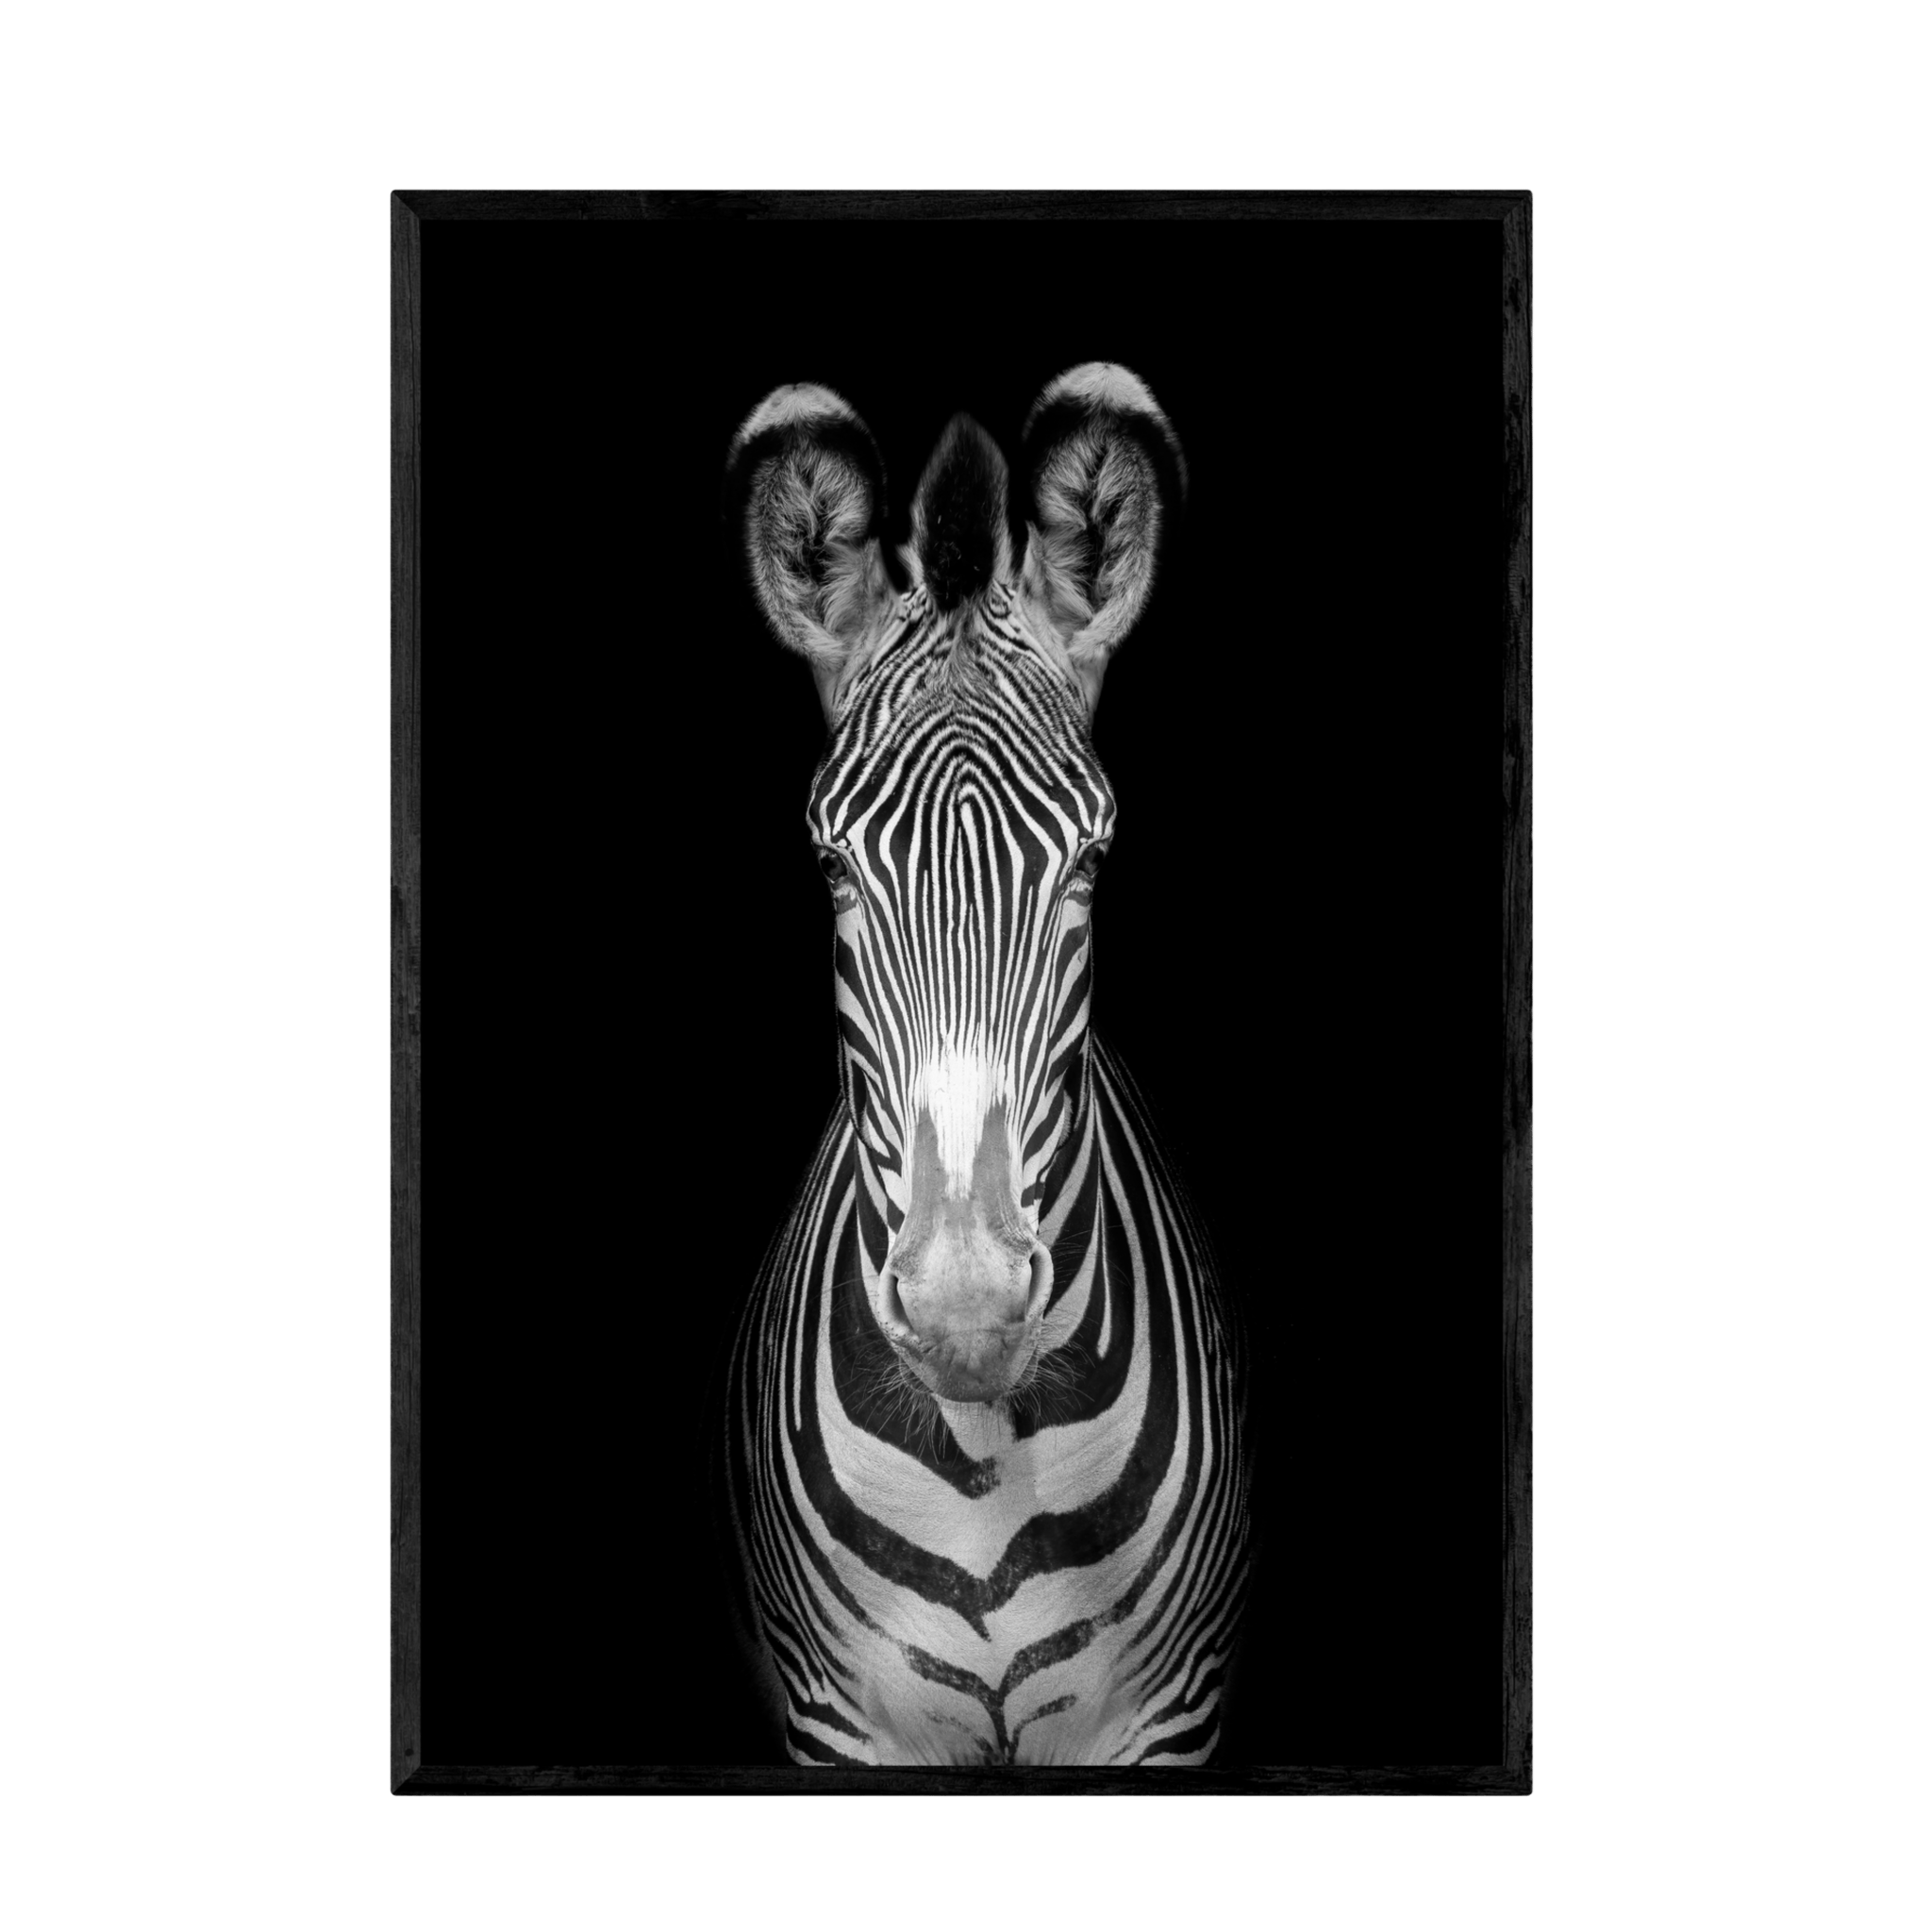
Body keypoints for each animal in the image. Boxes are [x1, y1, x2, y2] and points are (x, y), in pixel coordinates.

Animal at [719, 364, 1250, 1768]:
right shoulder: (841, 1724)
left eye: (1091, 865)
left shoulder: (1164, 1722)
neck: (981, 1451)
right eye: (833, 870)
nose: (966, 1308)